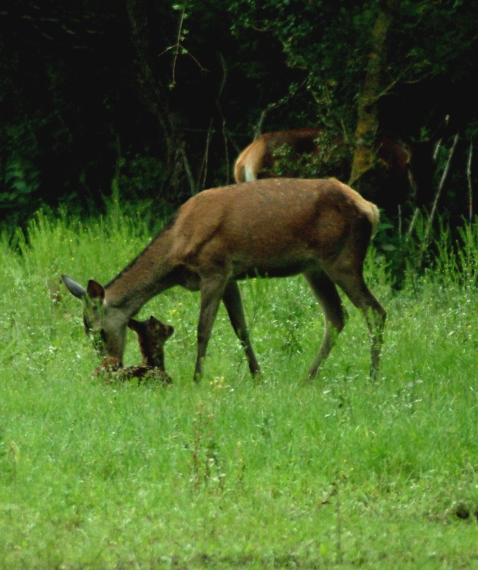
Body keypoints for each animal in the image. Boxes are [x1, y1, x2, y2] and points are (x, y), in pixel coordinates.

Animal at [61, 178, 386, 382]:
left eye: (99, 332)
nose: (110, 365)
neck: (178, 247)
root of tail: (371, 209)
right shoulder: (230, 275)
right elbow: (241, 328)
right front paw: (258, 376)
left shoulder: (214, 269)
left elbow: (203, 330)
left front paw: (196, 378)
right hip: (314, 267)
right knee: (336, 317)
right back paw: (309, 377)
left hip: (342, 259)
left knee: (375, 311)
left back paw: (372, 377)